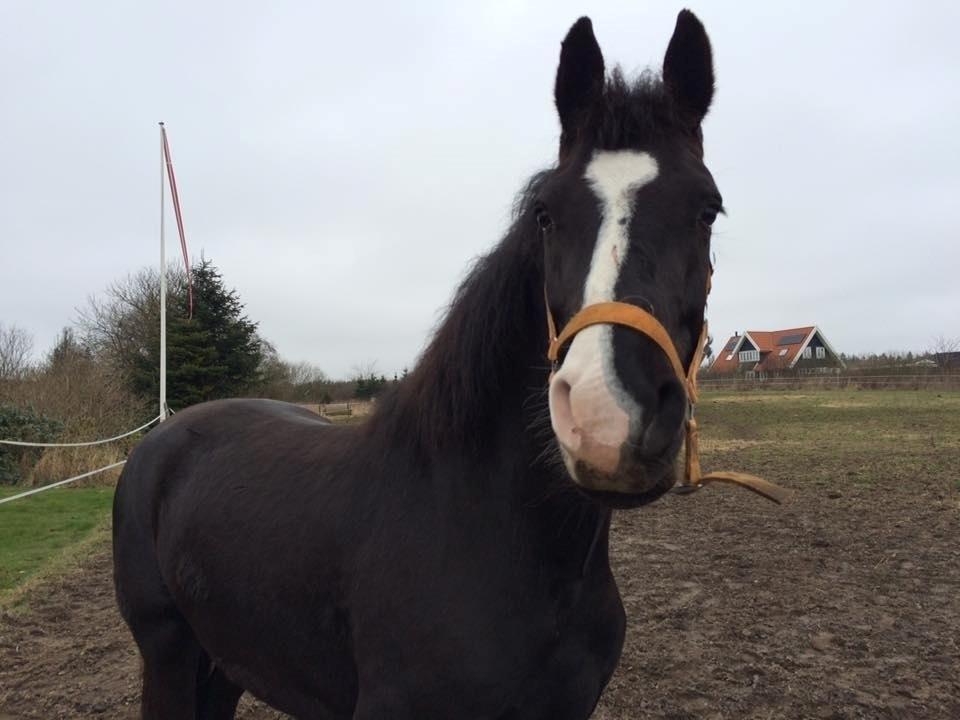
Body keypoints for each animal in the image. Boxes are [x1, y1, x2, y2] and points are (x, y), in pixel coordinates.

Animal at [114, 11, 720, 720]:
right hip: (170, 658)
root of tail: (162, 437)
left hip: (225, 665)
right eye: (545, 213)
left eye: (708, 210)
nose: (607, 417)